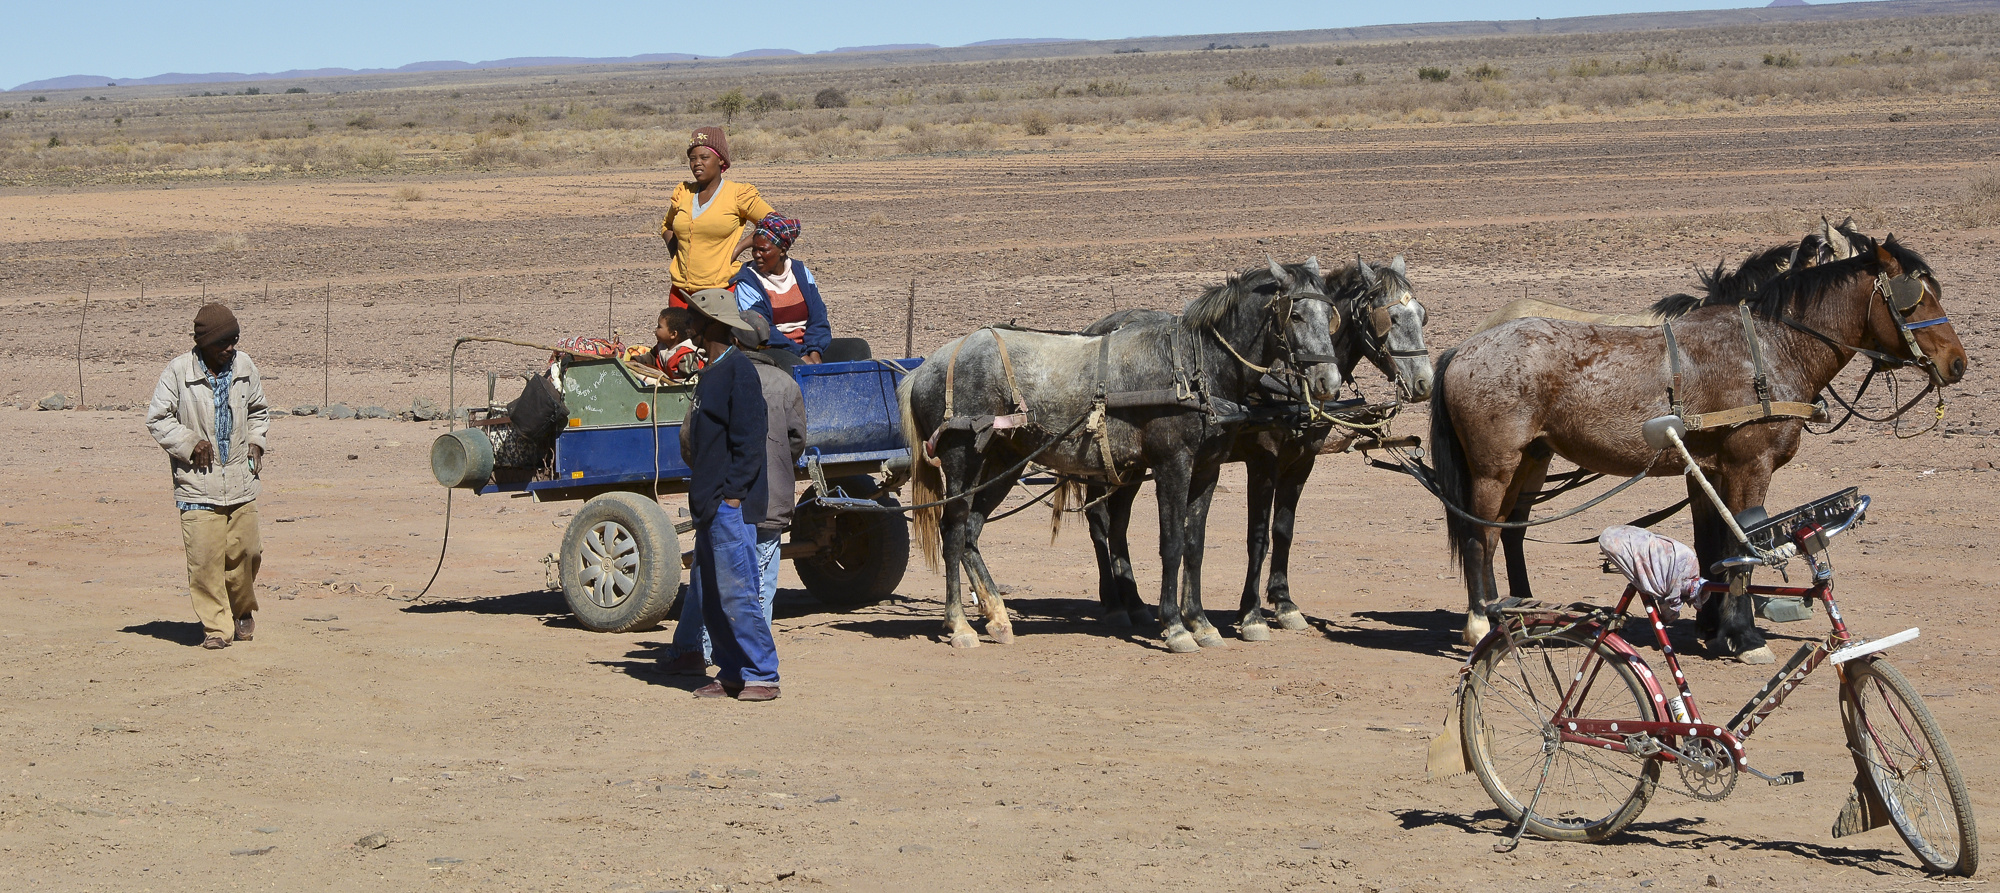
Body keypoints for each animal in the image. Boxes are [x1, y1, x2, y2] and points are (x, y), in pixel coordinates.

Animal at [896, 260, 1336, 656]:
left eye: (1330, 315)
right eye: (1296, 314)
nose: (1327, 382)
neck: (1194, 367)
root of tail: (926, 368)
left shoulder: (1207, 468)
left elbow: (1195, 545)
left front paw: (1201, 623)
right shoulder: (1173, 464)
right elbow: (1172, 543)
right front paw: (1176, 627)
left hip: (1004, 464)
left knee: (971, 531)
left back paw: (998, 618)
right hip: (962, 460)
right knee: (954, 530)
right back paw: (959, 625)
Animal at [1088, 254, 1432, 636]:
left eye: (1422, 315)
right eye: (1388, 318)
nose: (1424, 382)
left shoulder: (1302, 461)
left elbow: (1283, 531)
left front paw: (1284, 604)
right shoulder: (1263, 461)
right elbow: (1258, 537)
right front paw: (1251, 613)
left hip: (1133, 464)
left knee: (1118, 522)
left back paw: (1133, 603)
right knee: (1100, 520)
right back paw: (1115, 603)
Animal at [1440, 237, 1968, 664]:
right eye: (1916, 300)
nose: (1958, 363)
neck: (1769, 349)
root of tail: (1463, 349)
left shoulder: (1709, 471)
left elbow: (1713, 545)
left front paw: (1714, 626)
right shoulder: (1749, 465)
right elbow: (1742, 545)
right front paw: (1744, 636)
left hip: (1531, 458)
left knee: (1507, 529)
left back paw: (1519, 609)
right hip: (1494, 467)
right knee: (1479, 535)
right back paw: (1483, 622)